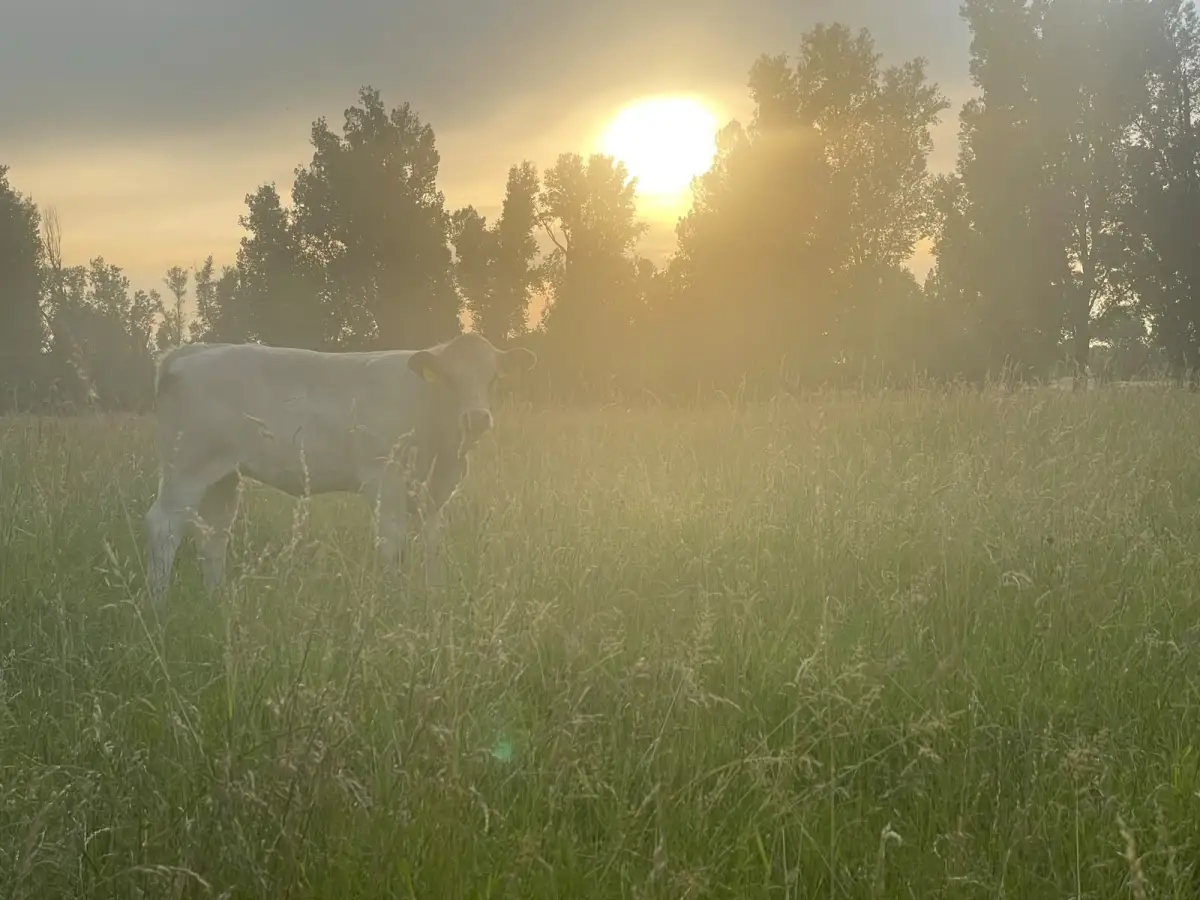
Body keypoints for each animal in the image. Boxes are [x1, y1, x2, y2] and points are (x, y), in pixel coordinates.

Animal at [143, 333, 536, 607]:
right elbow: (392, 541)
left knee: (214, 535)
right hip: (186, 467)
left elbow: (433, 541)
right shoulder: (383, 479)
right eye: (450, 379)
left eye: (493, 378)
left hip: (224, 474)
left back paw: (217, 600)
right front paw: (395, 601)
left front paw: (434, 594)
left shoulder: (435, 491)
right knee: (164, 526)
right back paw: (157, 605)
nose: (477, 419)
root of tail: (190, 351)